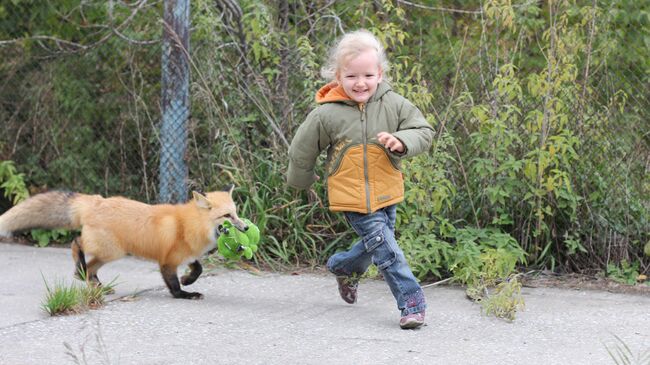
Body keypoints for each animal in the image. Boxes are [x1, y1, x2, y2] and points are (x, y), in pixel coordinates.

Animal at [0, 185, 248, 298]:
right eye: (227, 216)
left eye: (237, 213)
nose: (246, 228)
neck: (187, 226)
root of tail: (96, 201)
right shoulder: (167, 261)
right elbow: (173, 285)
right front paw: (185, 294)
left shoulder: (186, 255)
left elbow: (198, 268)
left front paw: (188, 279)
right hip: (111, 250)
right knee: (76, 243)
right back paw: (81, 268)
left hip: (111, 253)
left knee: (90, 268)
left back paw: (93, 282)